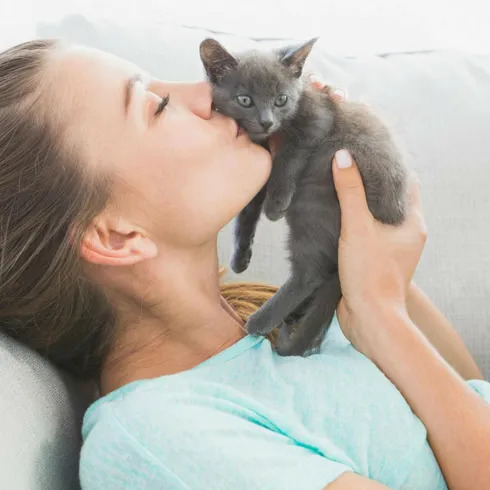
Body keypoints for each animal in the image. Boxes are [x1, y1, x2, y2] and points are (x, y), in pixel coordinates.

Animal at [199, 37, 410, 352]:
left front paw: (275, 205)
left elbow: (289, 158)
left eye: (281, 100)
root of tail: (391, 213)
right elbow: (247, 211)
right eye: (245, 99)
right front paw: (240, 256)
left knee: (311, 274)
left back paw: (261, 321)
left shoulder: (316, 121)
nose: (266, 122)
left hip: (313, 199)